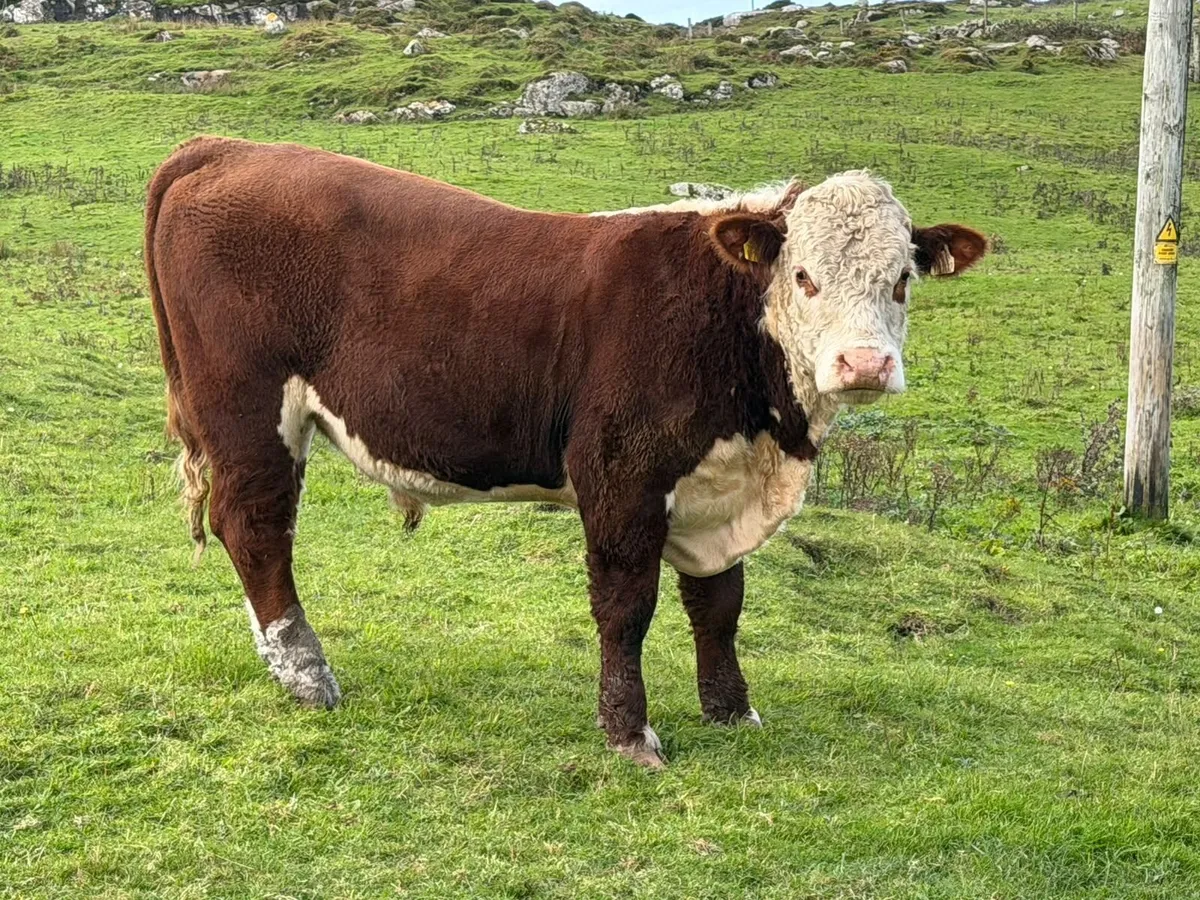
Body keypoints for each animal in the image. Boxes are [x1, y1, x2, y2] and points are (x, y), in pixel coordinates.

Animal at [145, 137, 986, 767]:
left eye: (902, 280)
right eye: (804, 277)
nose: (864, 364)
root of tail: (230, 148)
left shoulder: (712, 485)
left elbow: (719, 605)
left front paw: (731, 710)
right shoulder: (622, 473)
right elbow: (626, 606)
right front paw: (629, 733)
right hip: (249, 410)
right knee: (255, 528)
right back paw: (306, 674)